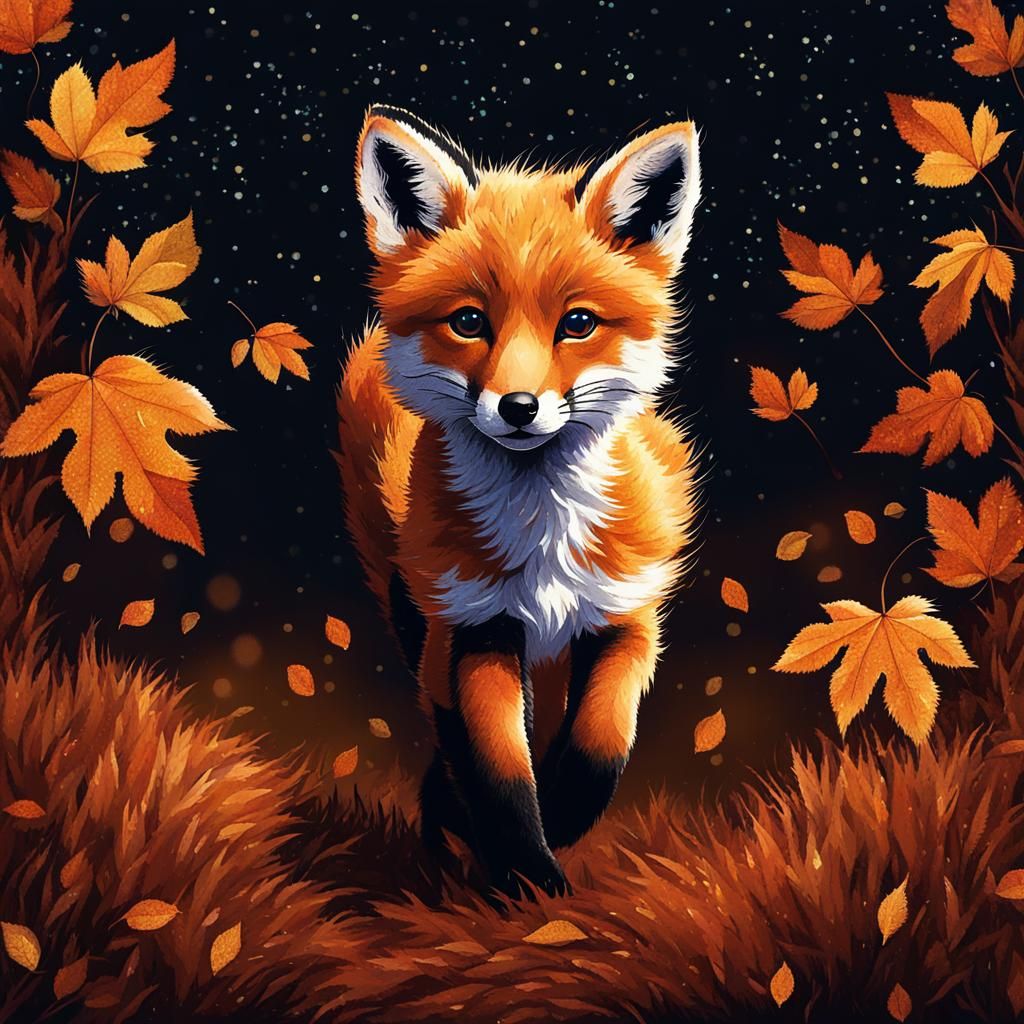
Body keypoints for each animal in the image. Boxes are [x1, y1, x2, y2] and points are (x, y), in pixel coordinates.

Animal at [337, 103, 701, 897]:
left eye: (579, 323)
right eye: (470, 321)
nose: (519, 408)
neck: (543, 535)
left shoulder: (625, 615)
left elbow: (599, 742)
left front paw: (563, 819)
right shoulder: (472, 630)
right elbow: (500, 772)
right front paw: (530, 884)